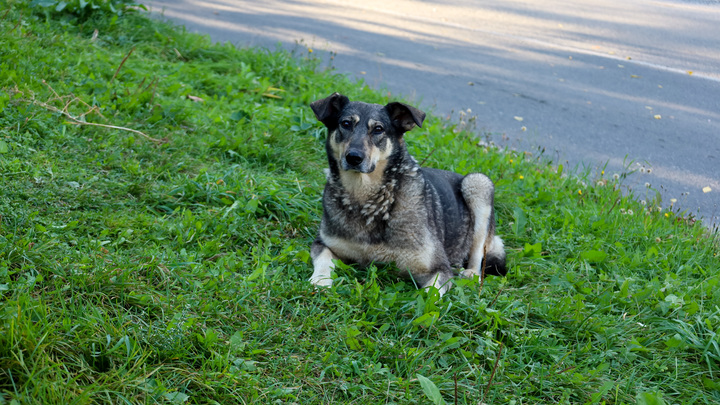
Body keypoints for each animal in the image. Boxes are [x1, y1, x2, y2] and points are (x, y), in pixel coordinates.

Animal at [308, 92, 506, 294]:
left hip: (477, 183)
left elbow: (429, 294)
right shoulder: (323, 243)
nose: (354, 157)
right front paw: (320, 281)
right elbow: (323, 258)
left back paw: (470, 273)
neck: (367, 198)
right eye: (346, 124)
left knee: (477, 256)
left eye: (378, 129)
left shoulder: (439, 268)